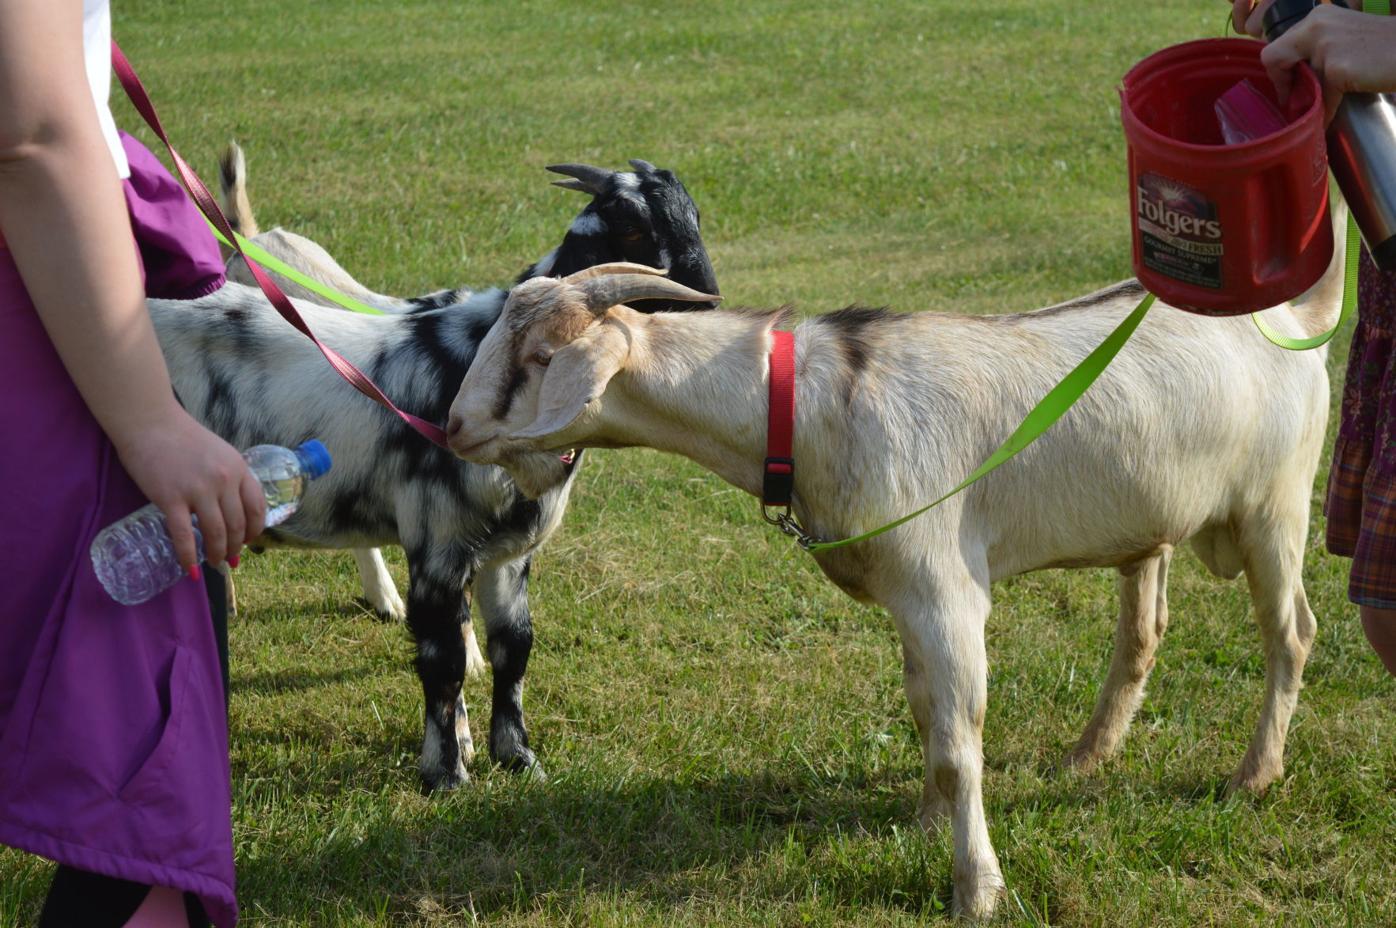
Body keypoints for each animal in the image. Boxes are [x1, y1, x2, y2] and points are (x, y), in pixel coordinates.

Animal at [150, 162, 718, 792]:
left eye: (695, 215)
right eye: (633, 229)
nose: (709, 306)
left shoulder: (509, 553)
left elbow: (514, 646)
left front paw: (516, 757)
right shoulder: (437, 542)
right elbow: (442, 662)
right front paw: (446, 773)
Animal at [443, 248, 1342, 918]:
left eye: (537, 359)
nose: (451, 426)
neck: (811, 407)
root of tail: (1297, 320)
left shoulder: (945, 593)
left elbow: (958, 741)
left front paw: (976, 888)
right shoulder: (905, 599)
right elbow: (924, 717)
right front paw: (923, 825)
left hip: (1276, 506)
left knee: (1291, 632)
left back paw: (1253, 775)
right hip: (1154, 524)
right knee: (1144, 631)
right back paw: (1087, 757)